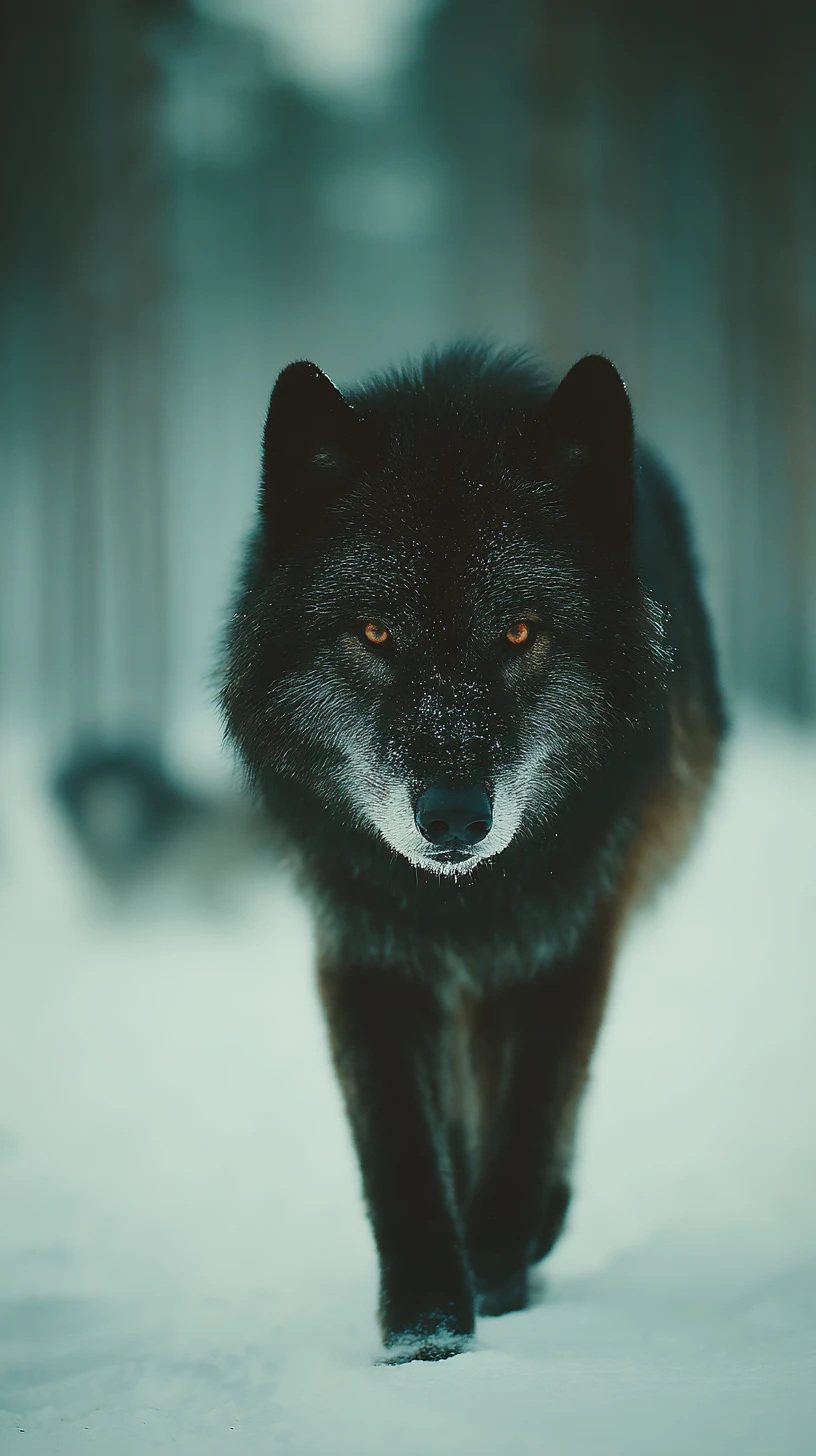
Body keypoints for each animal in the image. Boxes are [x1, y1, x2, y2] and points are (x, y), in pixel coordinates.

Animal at [221, 344, 725, 1361]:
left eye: (520, 631)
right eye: (375, 631)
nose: (452, 817)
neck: (462, 899)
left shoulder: (567, 938)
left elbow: (533, 1111)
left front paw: (496, 1272)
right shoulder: (366, 947)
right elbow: (399, 1148)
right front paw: (425, 1330)